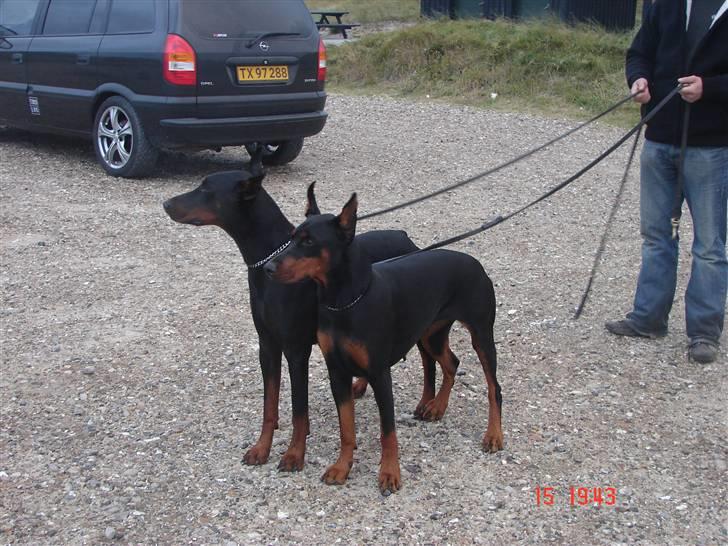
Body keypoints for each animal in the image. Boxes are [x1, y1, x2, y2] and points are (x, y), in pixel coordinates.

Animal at [163, 160, 418, 468]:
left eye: (205, 189)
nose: (165, 203)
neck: (267, 262)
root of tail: (404, 236)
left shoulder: (296, 350)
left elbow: (299, 410)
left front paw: (295, 453)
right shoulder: (267, 346)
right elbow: (269, 405)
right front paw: (262, 448)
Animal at [264, 189, 504, 490]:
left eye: (309, 241)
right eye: (293, 235)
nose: (268, 267)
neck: (344, 303)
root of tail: (476, 263)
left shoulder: (379, 373)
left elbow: (387, 432)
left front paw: (390, 473)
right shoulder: (337, 373)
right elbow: (347, 428)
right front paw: (342, 467)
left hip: (481, 335)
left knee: (494, 387)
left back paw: (493, 435)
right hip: (431, 334)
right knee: (451, 362)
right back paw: (437, 407)